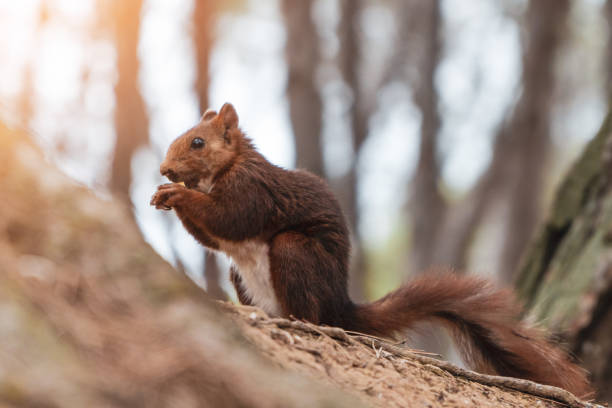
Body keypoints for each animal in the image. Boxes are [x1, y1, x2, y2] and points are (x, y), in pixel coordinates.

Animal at [149, 103, 592, 398]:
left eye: (198, 142)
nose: (165, 169)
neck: (225, 169)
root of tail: (339, 305)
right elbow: (213, 237)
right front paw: (163, 194)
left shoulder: (253, 190)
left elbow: (230, 219)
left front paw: (176, 194)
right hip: (241, 276)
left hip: (295, 253)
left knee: (309, 312)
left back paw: (300, 320)